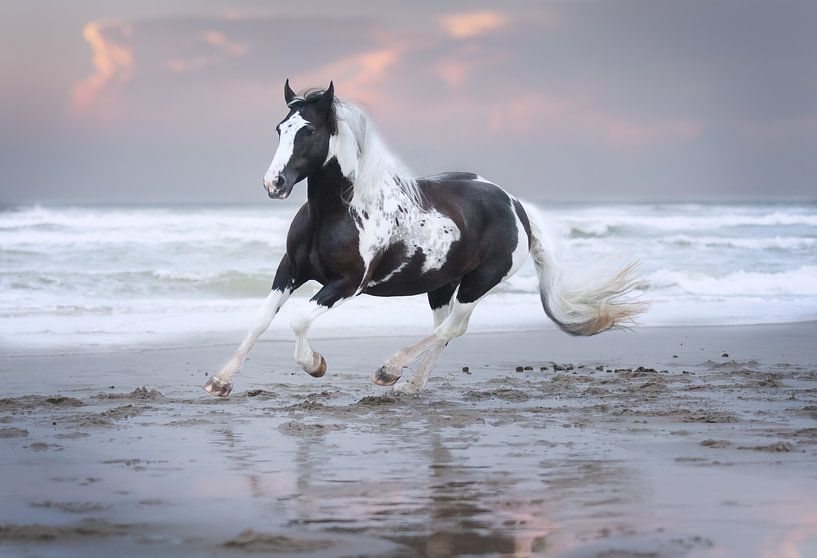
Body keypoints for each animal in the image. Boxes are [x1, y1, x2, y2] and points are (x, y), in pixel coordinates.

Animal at [204, 80, 647, 397]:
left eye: (309, 129)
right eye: (280, 128)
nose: (274, 184)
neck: (336, 212)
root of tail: (516, 205)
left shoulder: (348, 284)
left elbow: (297, 319)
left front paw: (316, 365)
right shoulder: (290, 271)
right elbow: (261, 320)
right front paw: (221, 381)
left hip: (478, 282)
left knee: (454, 328)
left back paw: (390, 372)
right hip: (441, 284)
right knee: (443, 329)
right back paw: (411, 385)